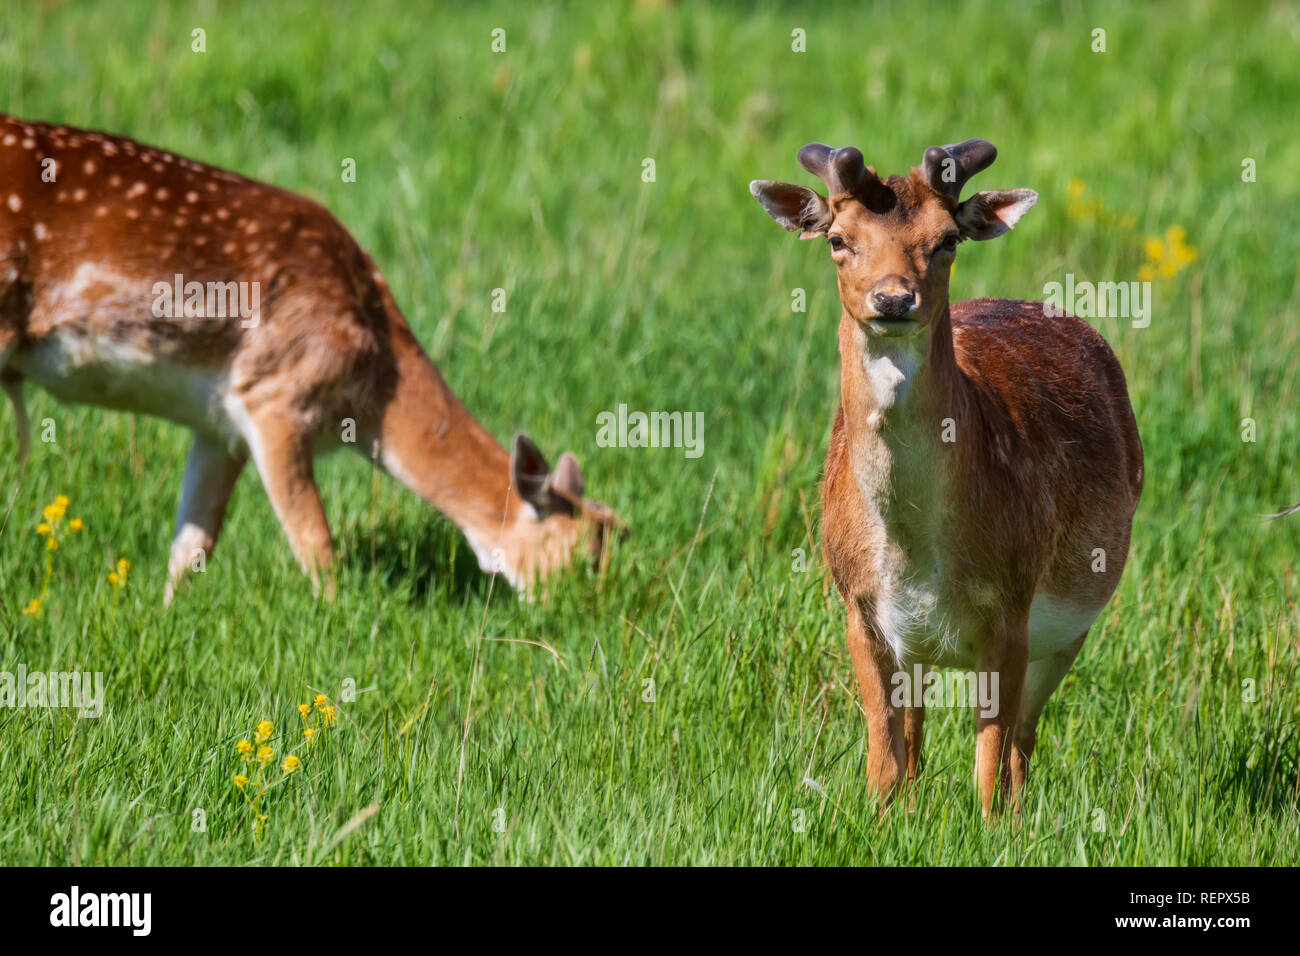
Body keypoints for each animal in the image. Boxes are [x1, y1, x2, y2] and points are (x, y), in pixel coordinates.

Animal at [0, 113, 619, 603]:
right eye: (585, 555)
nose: (582, 616)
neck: (373, 388)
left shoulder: (218, 423)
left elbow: (193, 545)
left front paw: (162, 616)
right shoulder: (276, 396)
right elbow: (317, 546)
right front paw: (340, 625)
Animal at [750, 139, 1143, 816]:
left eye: (947, 240)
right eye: (838, 239)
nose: (893, 299)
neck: (914, 547)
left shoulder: (1013, 602)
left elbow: (991, 757)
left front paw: (990, 826)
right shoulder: (858, 604)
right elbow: (884, 756)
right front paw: (881, 817)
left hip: (1073, 622)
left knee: (1022, 742)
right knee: (918, 736)